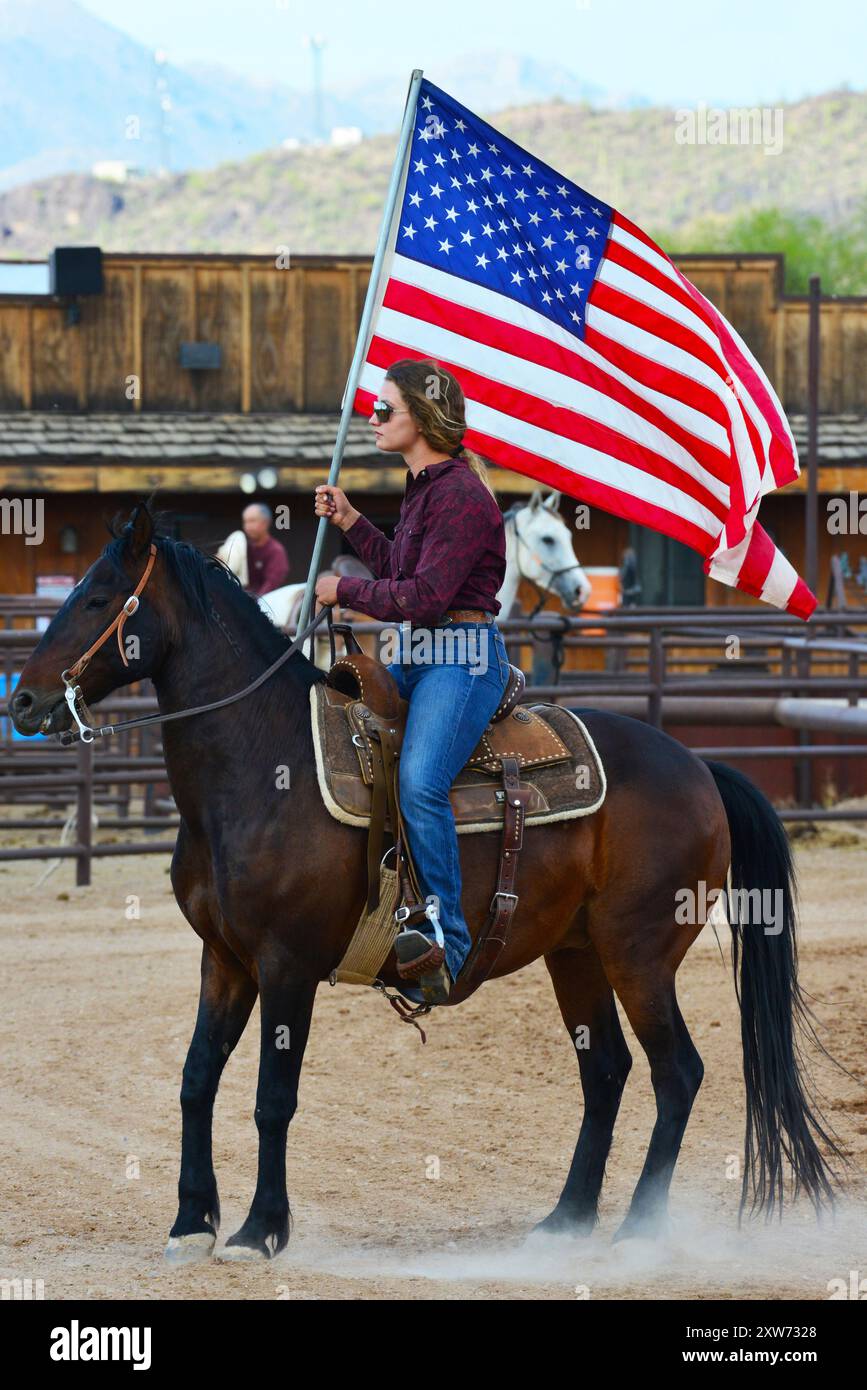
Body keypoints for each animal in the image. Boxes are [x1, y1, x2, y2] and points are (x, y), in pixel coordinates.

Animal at [10, 508, 844, 1262]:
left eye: (97, 598)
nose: (21, 700)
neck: (262, 762)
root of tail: (699, 765)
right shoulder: (224, 959)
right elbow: (195, 1081)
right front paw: (190, 1223)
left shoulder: (286, 965)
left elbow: (272, 1097)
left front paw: (258, 1231)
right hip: (574, 954)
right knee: (604, 1069)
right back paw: (564, 1221)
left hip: (636, 953)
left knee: (677, 1073)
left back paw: (639, 1229)